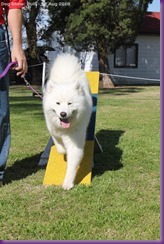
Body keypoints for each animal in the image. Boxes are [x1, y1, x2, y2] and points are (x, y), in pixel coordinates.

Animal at [43, 53, 93, 191]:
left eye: (70, 103)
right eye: (58, 103)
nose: (63, 114)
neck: (64, 129)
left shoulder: (75, 141)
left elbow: (72, 164)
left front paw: (67, 183)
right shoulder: (52, 129)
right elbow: (57, 142)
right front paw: (62, 149)